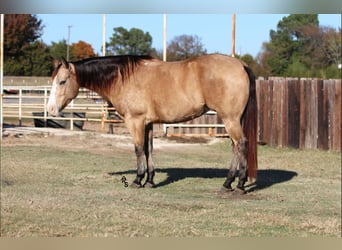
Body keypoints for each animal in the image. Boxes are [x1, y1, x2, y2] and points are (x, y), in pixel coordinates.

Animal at [46, 53, 258, 192]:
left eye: (62, 81)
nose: (50, 110)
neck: (123, 78)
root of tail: (241, 65)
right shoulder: (147, 123)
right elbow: (149, 150)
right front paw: (149, 181)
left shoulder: (135, 121)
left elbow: (139, 150)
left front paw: (137, 180)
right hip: (233, 120)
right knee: (235, 147)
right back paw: (228, 183)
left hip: (230, 119)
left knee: (241, 144)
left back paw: (238, 185)